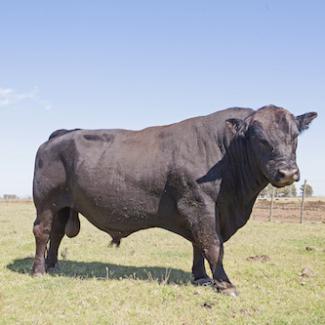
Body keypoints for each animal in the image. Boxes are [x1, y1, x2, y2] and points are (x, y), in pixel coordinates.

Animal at [31, 104, 316, 294]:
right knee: (42, 232)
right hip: (45, 202)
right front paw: (224, 283)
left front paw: (201, 277)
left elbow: (199, 243)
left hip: (63, 205)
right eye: (259, 139)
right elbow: (212, 244)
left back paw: (53, 265)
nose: (287, 172)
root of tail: (62, 134)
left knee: (56, 233)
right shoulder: (199, 204)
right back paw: (38, 270)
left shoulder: (206, 212)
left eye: (294, 137)